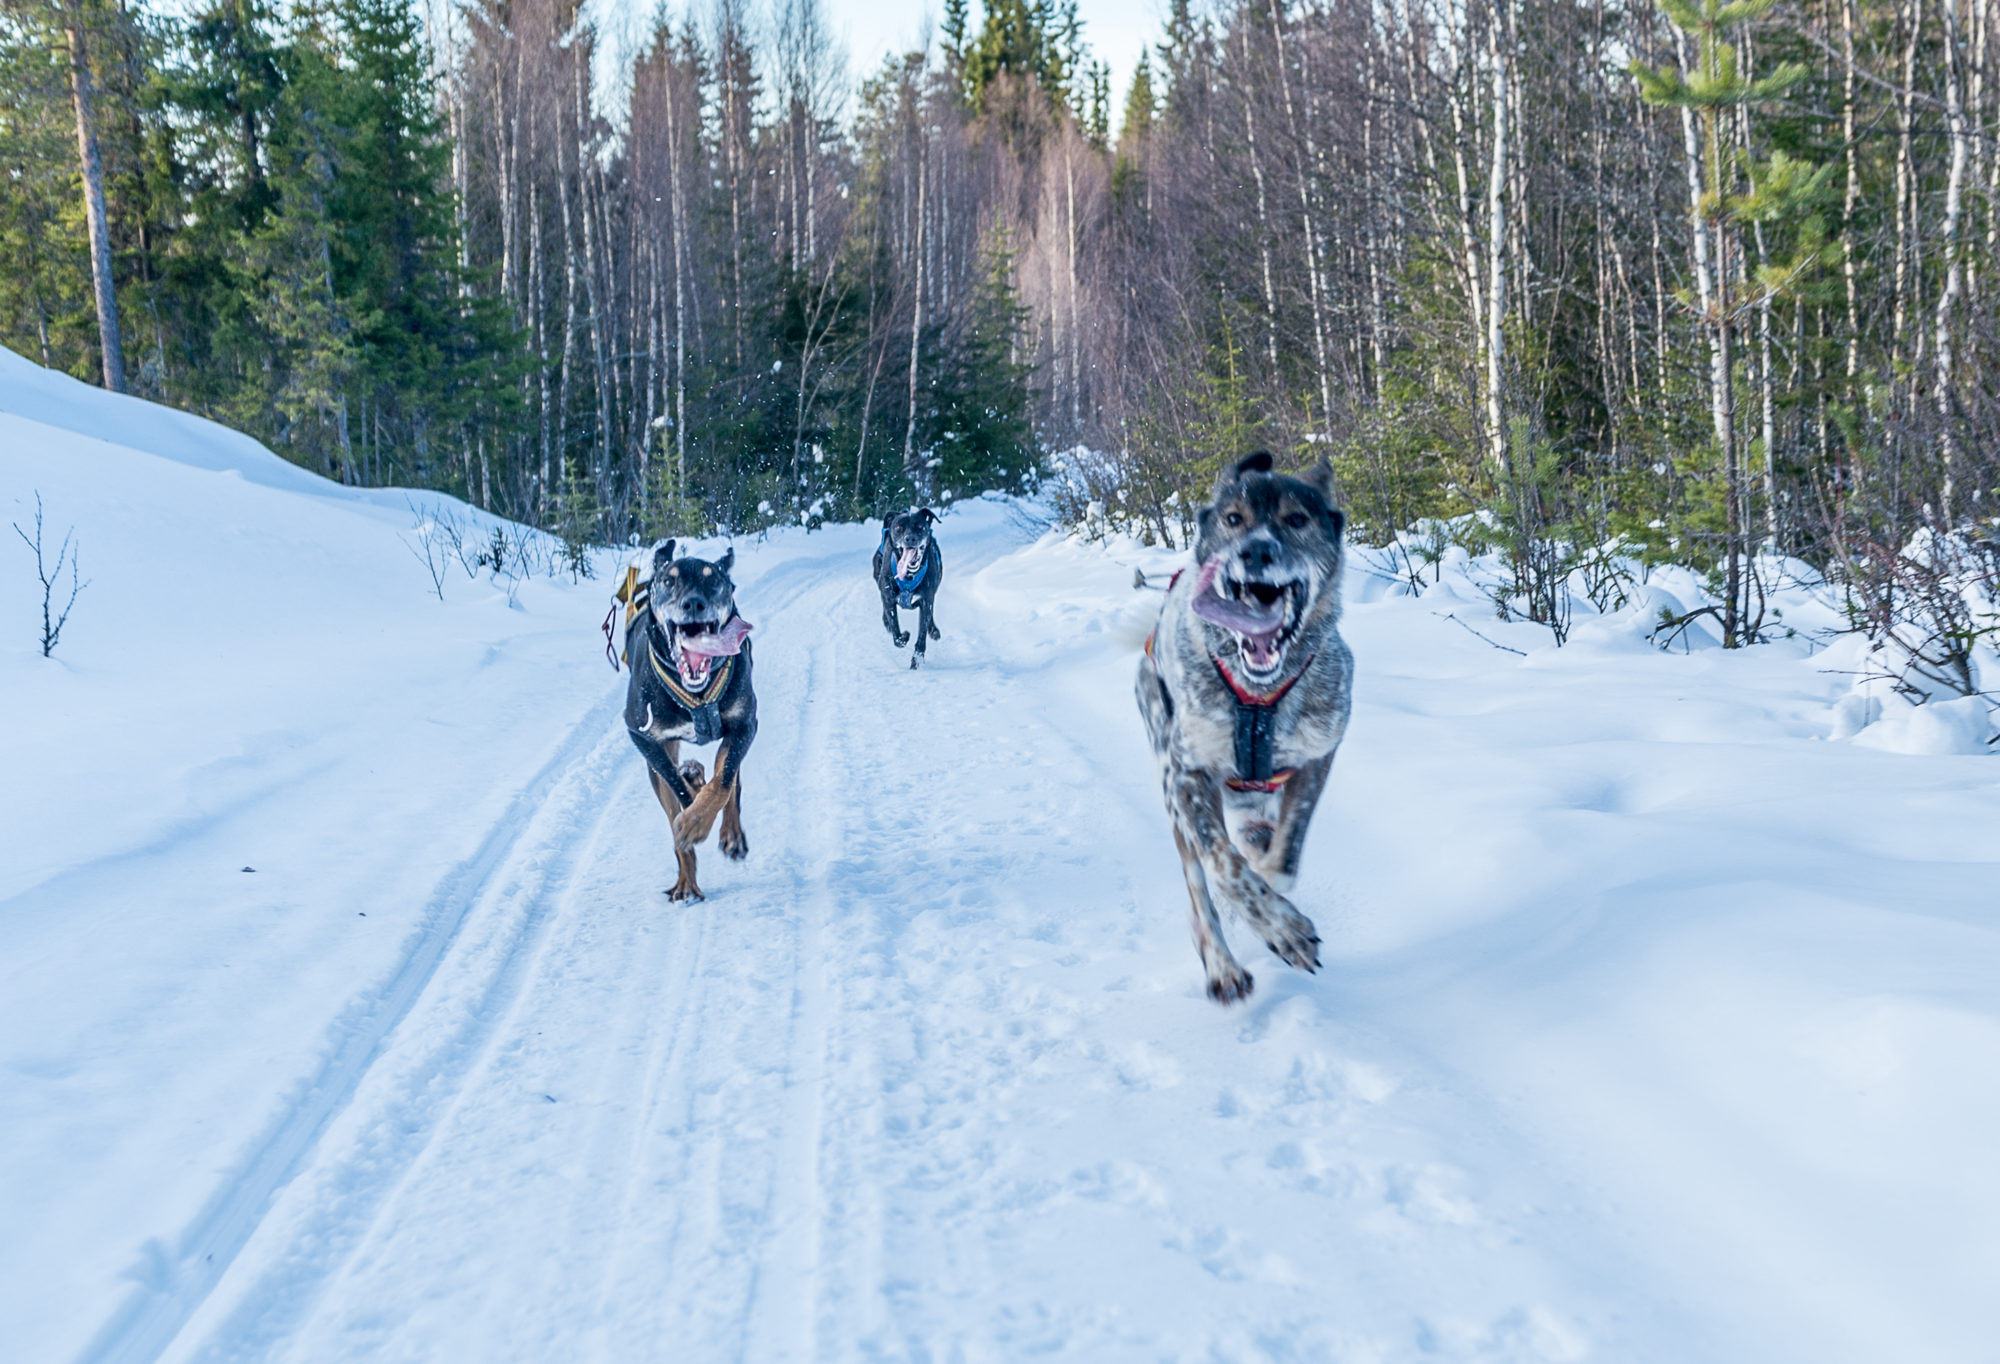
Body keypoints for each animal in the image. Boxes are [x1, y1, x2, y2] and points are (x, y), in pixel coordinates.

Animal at [624, 536, 756, 896]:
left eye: (714, 580)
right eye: (669, 581)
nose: (693, 603)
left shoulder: (744, 724)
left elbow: (723, 782)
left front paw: (699, 820)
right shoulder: (643, 737)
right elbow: (678, 789)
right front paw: (692, 809)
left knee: (731, 782)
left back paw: (731, 835)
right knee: (674, 814)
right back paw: (686, 883)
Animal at [872, 504, 940, 664]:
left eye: (920, 526)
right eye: (898, 527)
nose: (910, 538)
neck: (908, 576)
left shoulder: (926, 600)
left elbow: (921, 636)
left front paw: (917, 660)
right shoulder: (889, 597)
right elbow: (896, 634)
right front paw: (903, 636)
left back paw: (933, 630)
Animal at [1144, 454, 1360, 1000]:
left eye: (1297, 519)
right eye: (1233, 519)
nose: (1256, 550)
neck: (1259, 697)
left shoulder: (1317, 755)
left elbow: (1282, 861)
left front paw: (1273, 889)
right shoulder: (1188, 774)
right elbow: (1224, 868)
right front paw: (1283, 928)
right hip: (1168, 780)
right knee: (1199, 887)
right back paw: (1222, 966)